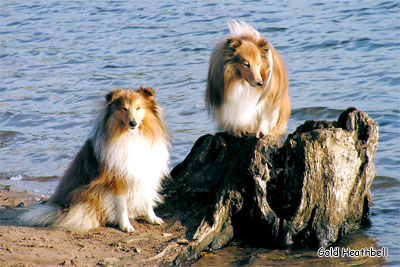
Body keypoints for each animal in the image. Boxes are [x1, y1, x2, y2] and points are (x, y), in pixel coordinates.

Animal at [20, 87, 170, 232]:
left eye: (139, 108)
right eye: (124, 108)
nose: (133, 123)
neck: (131, 136)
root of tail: (59, 208)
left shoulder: (145, 174)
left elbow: (147, 199)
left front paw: (152, 218)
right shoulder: (117, 180)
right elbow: (121, 205)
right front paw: (125, 225)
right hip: (88, 191)